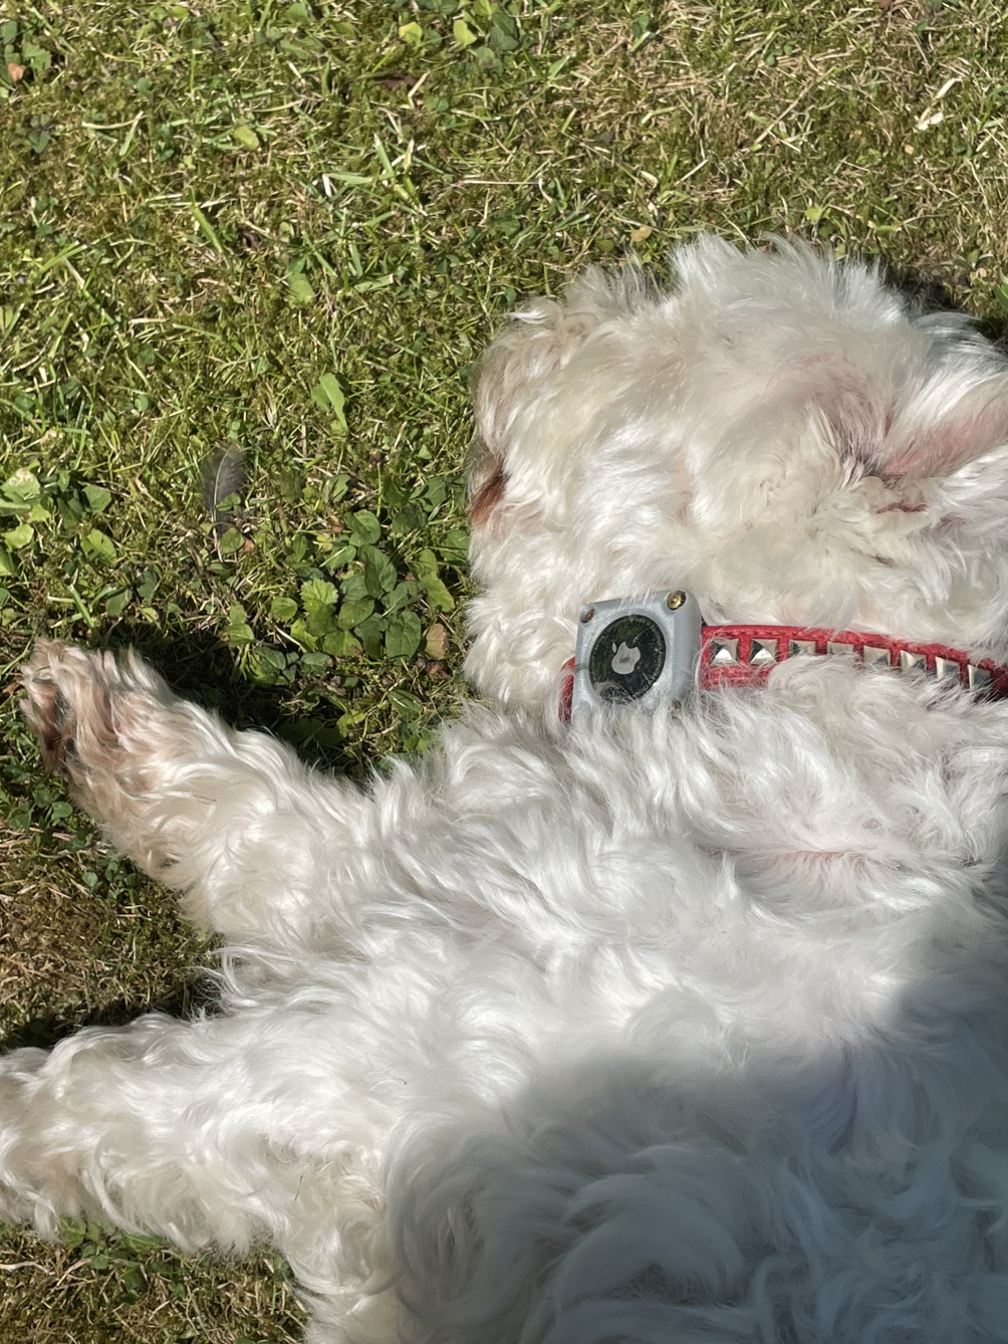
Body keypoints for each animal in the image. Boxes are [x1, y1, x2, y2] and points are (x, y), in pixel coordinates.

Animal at [8, 235, 1008, 1343]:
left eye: (663, 330)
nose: (535, 318)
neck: (796, 674)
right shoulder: (414, 877)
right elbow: (265, 822)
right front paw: (103, 723)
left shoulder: (393, 1042)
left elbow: (123, 1101)